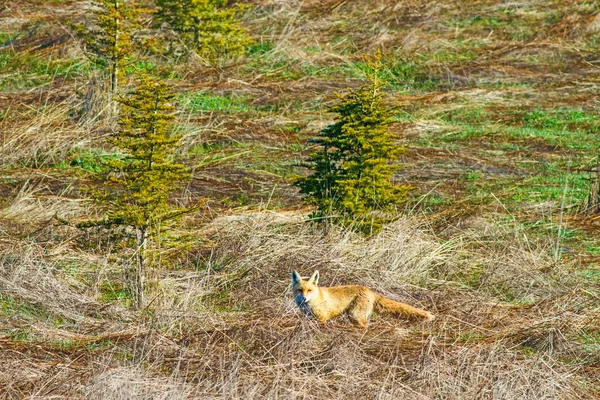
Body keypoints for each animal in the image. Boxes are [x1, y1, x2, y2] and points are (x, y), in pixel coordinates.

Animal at [292, 270, 434, 326]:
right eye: (300, 290)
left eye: (309, 290)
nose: (304, 298)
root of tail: (369, 290)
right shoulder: (308, 317)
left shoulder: (322, 318)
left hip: (355, 316)